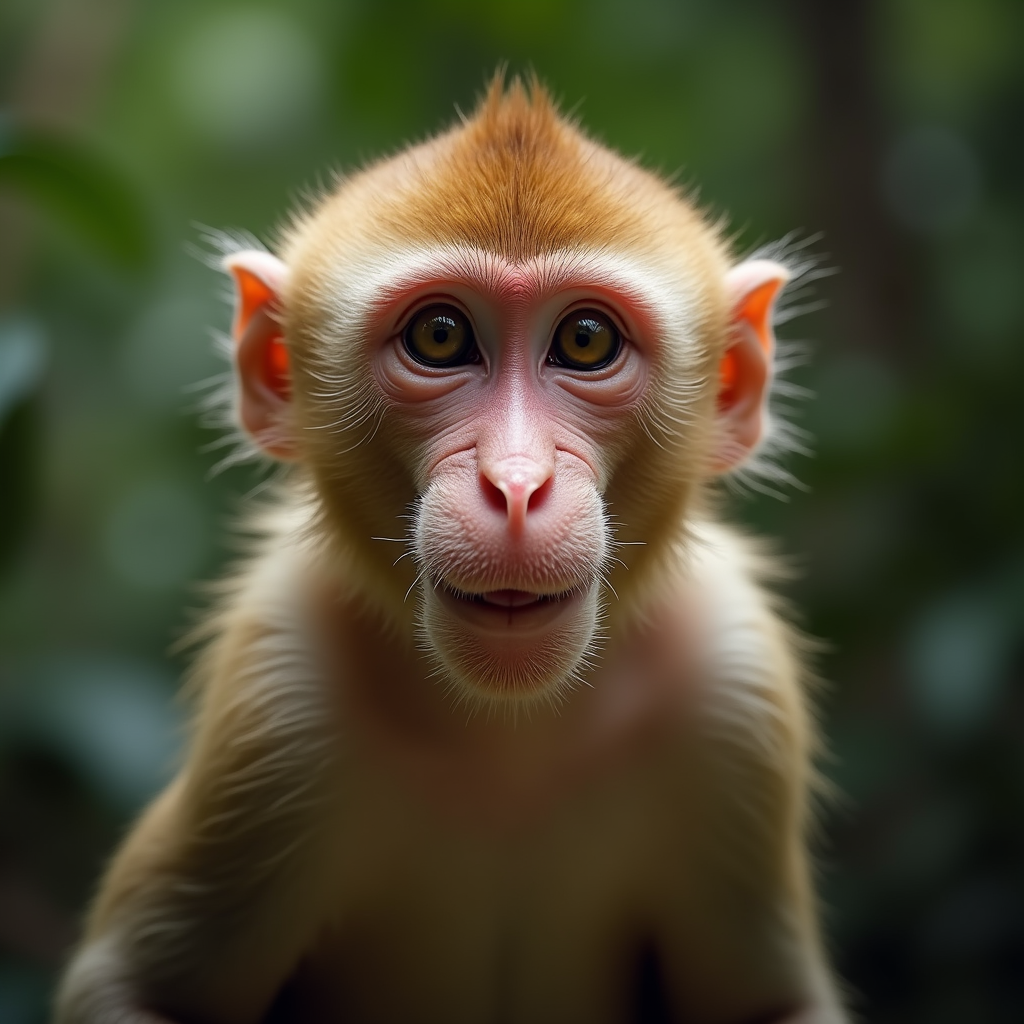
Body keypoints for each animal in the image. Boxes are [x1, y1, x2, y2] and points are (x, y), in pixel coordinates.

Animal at [55, 77, 847, 1024]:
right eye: (439, 337)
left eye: (586, 340)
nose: (515, 483)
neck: (506, 731)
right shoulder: (277, 686)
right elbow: (136, 988)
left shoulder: (735, 681)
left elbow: (771, 1004)